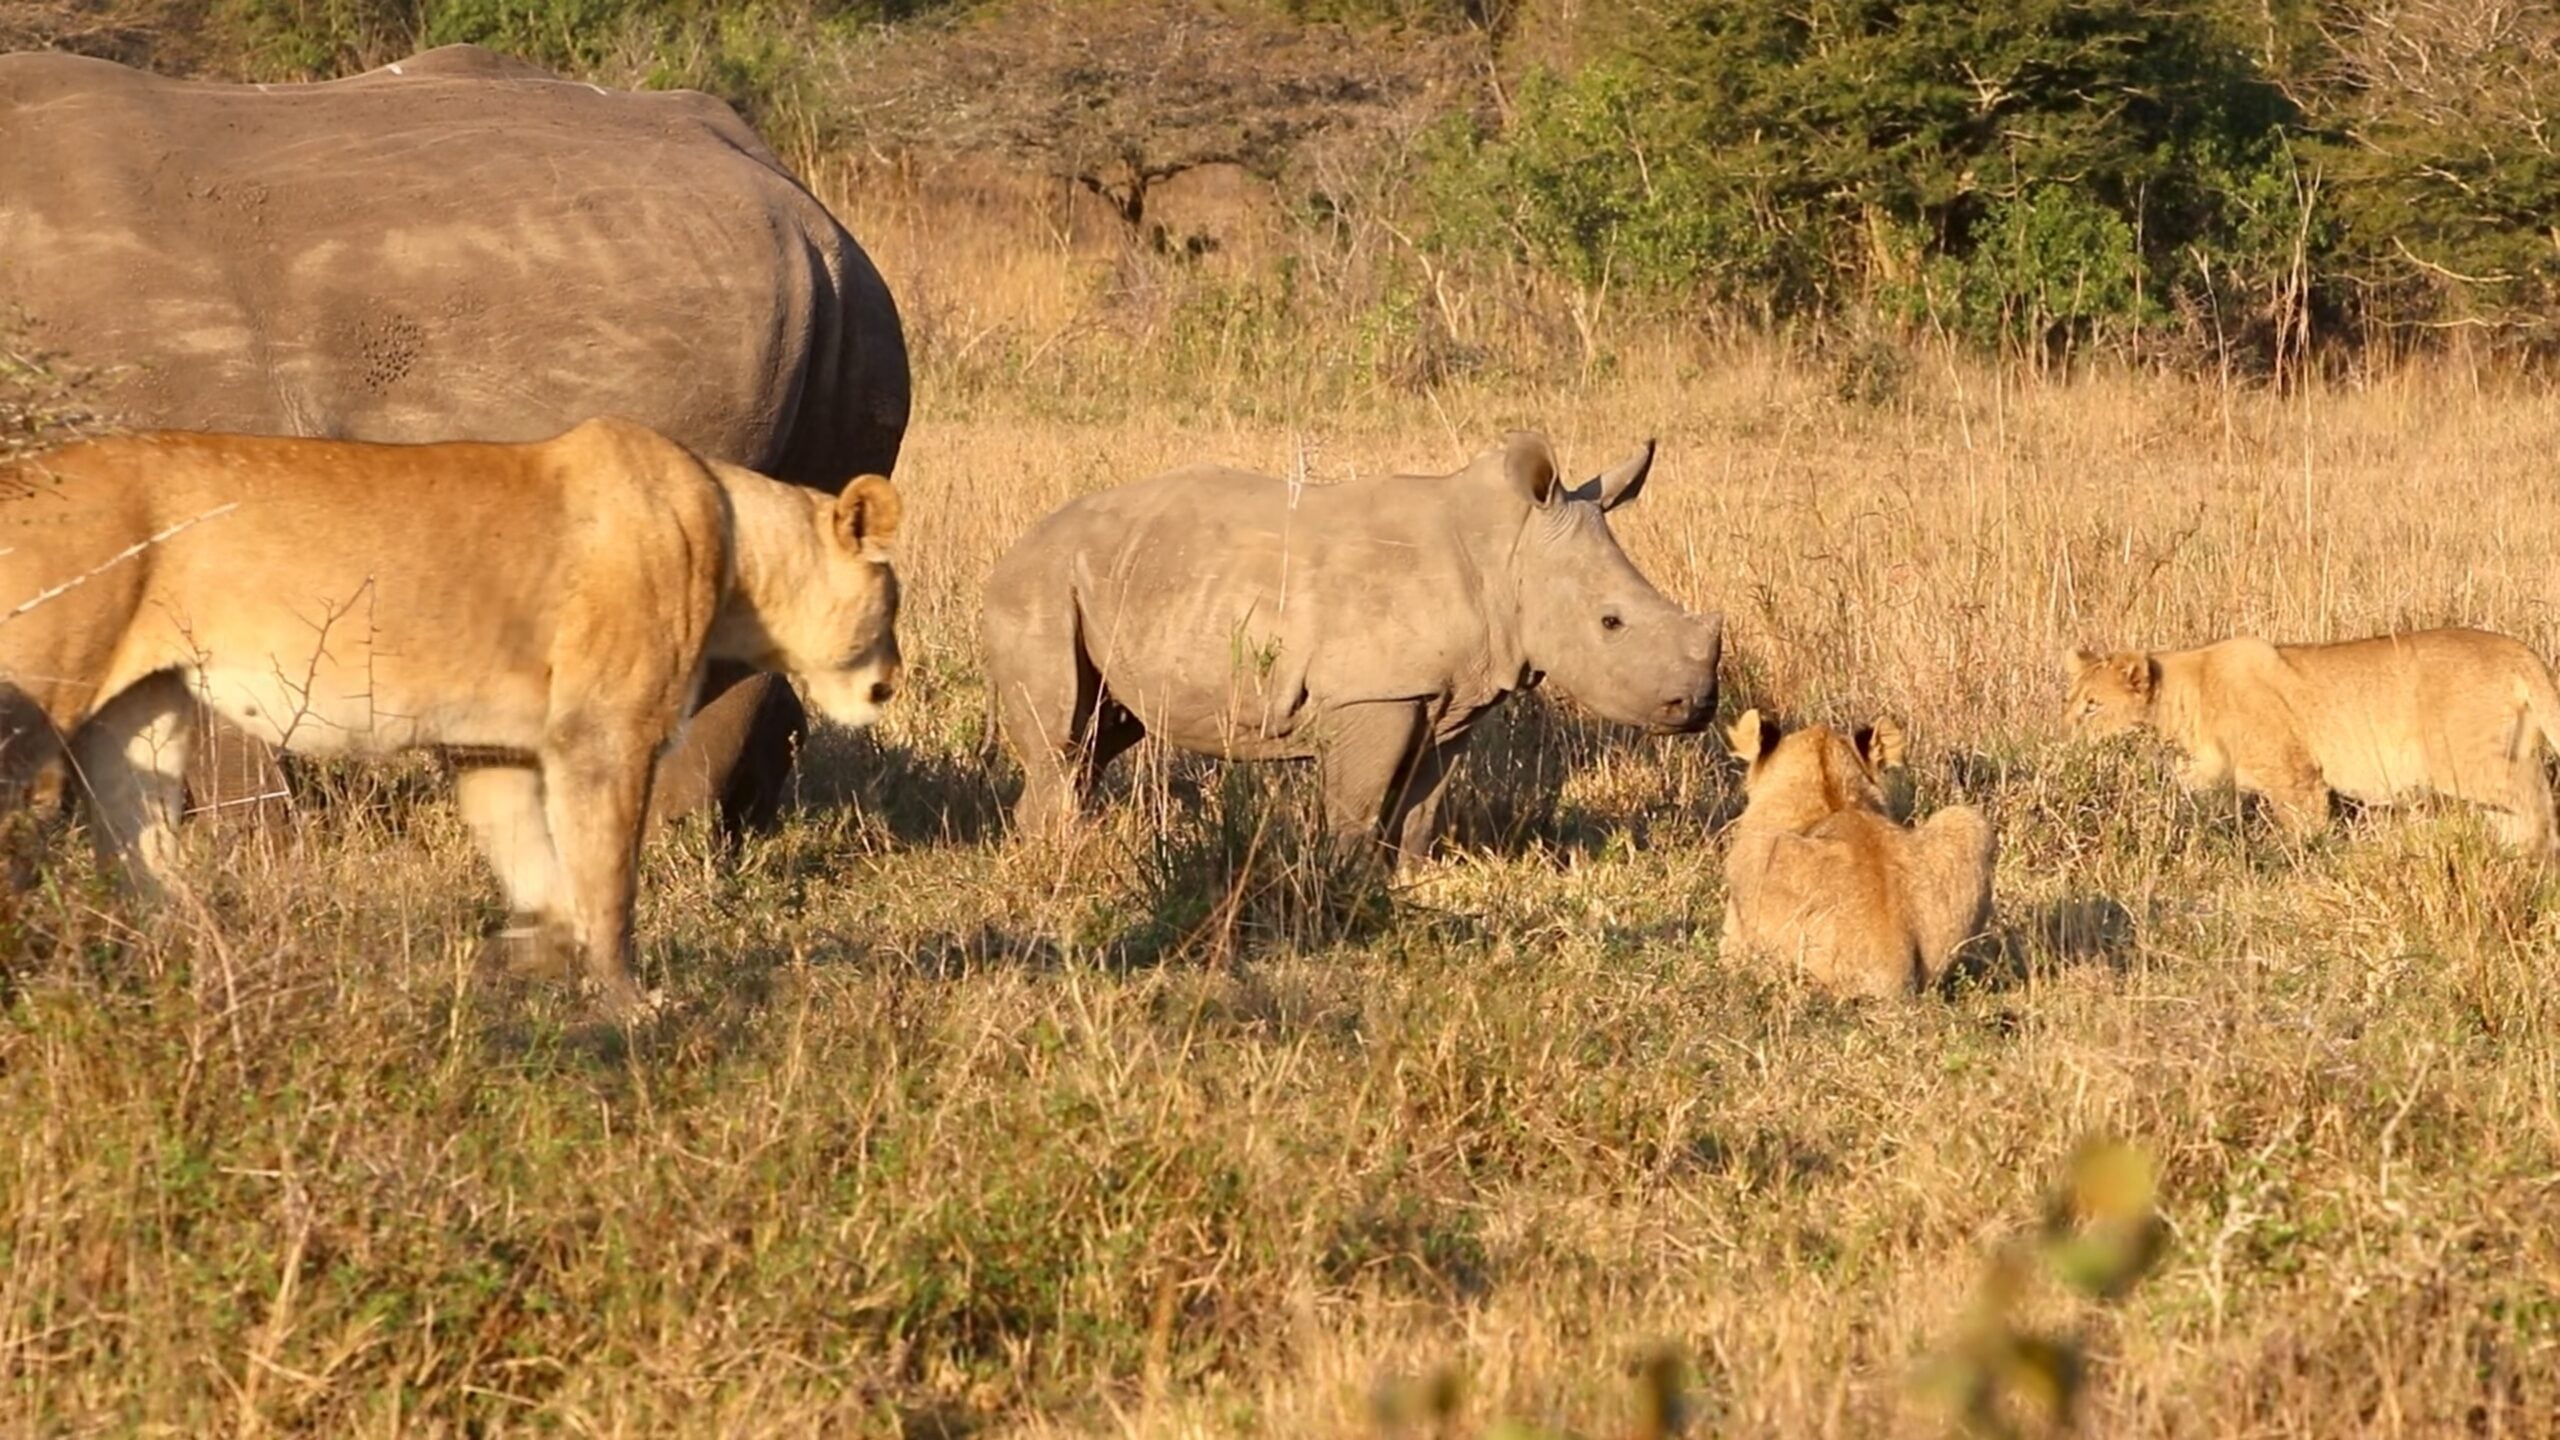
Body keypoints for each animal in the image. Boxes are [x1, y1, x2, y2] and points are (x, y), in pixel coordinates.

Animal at [0, 418, 904, 1015]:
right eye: (892, 600)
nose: (892, 683)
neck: (738, 542)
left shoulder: (492, 750)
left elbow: (545, 879)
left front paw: (514, 958)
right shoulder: (604, 735)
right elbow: (610, 882)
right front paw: (631, 1008)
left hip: (143, 714)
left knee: (142, 858)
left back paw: (191, 977)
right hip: (41, 703)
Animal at [981, 432, 1723, 861]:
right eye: (1611, 623)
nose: (1697, 707)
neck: (1508, 553)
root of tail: (1020, 541)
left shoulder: (1453, 696)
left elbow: (1422, 802)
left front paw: (1412, 879)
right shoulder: (1376, 691)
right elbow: (1358, 803)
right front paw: (1347, 884)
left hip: (1116, 575)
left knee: (1102, 733)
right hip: (1041, 581)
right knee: (1062, 738)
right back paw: (1052, 861)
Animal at [2062, 628, 2560, 850]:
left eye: (2093, 706)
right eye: (2070, 703)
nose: (2064, 739)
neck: (2185, 694)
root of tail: (2516, 649)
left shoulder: (2296, 776)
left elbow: (2304, 830)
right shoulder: (2205, 773)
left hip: (2465, 760)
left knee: (2536, 799)